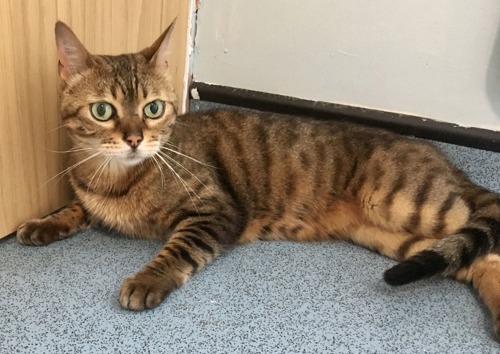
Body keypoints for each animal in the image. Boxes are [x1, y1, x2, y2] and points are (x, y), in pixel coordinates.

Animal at [17, 20, 500, 338]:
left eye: (153, 108)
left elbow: (178, 249)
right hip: (401, 239)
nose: (135, 139)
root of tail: (446, 161)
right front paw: (43, 223)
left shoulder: (215, 211)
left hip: (411, 205)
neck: (115, 177)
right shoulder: (90, 194)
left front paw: (148, 279)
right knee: (477, 259)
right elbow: (75, 207)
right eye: (103, 111)